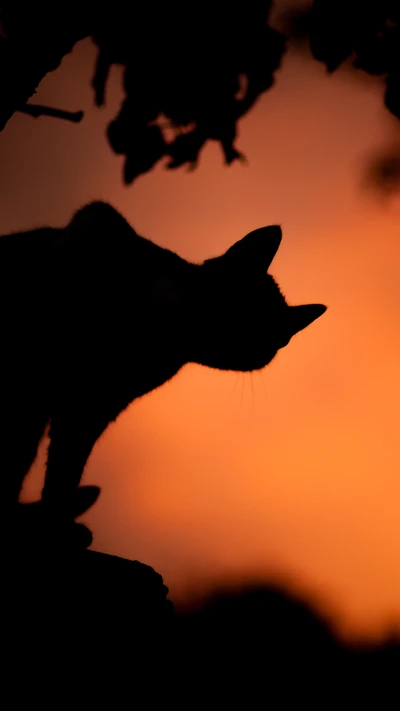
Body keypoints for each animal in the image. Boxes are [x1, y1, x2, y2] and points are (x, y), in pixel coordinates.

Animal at [0, 203, 324, 544]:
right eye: (240, 304)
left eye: (267, 335)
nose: (242, 334)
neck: (164, 342)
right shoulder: (98, 222)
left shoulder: (91, 408)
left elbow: (64, 469)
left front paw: (55, 525)